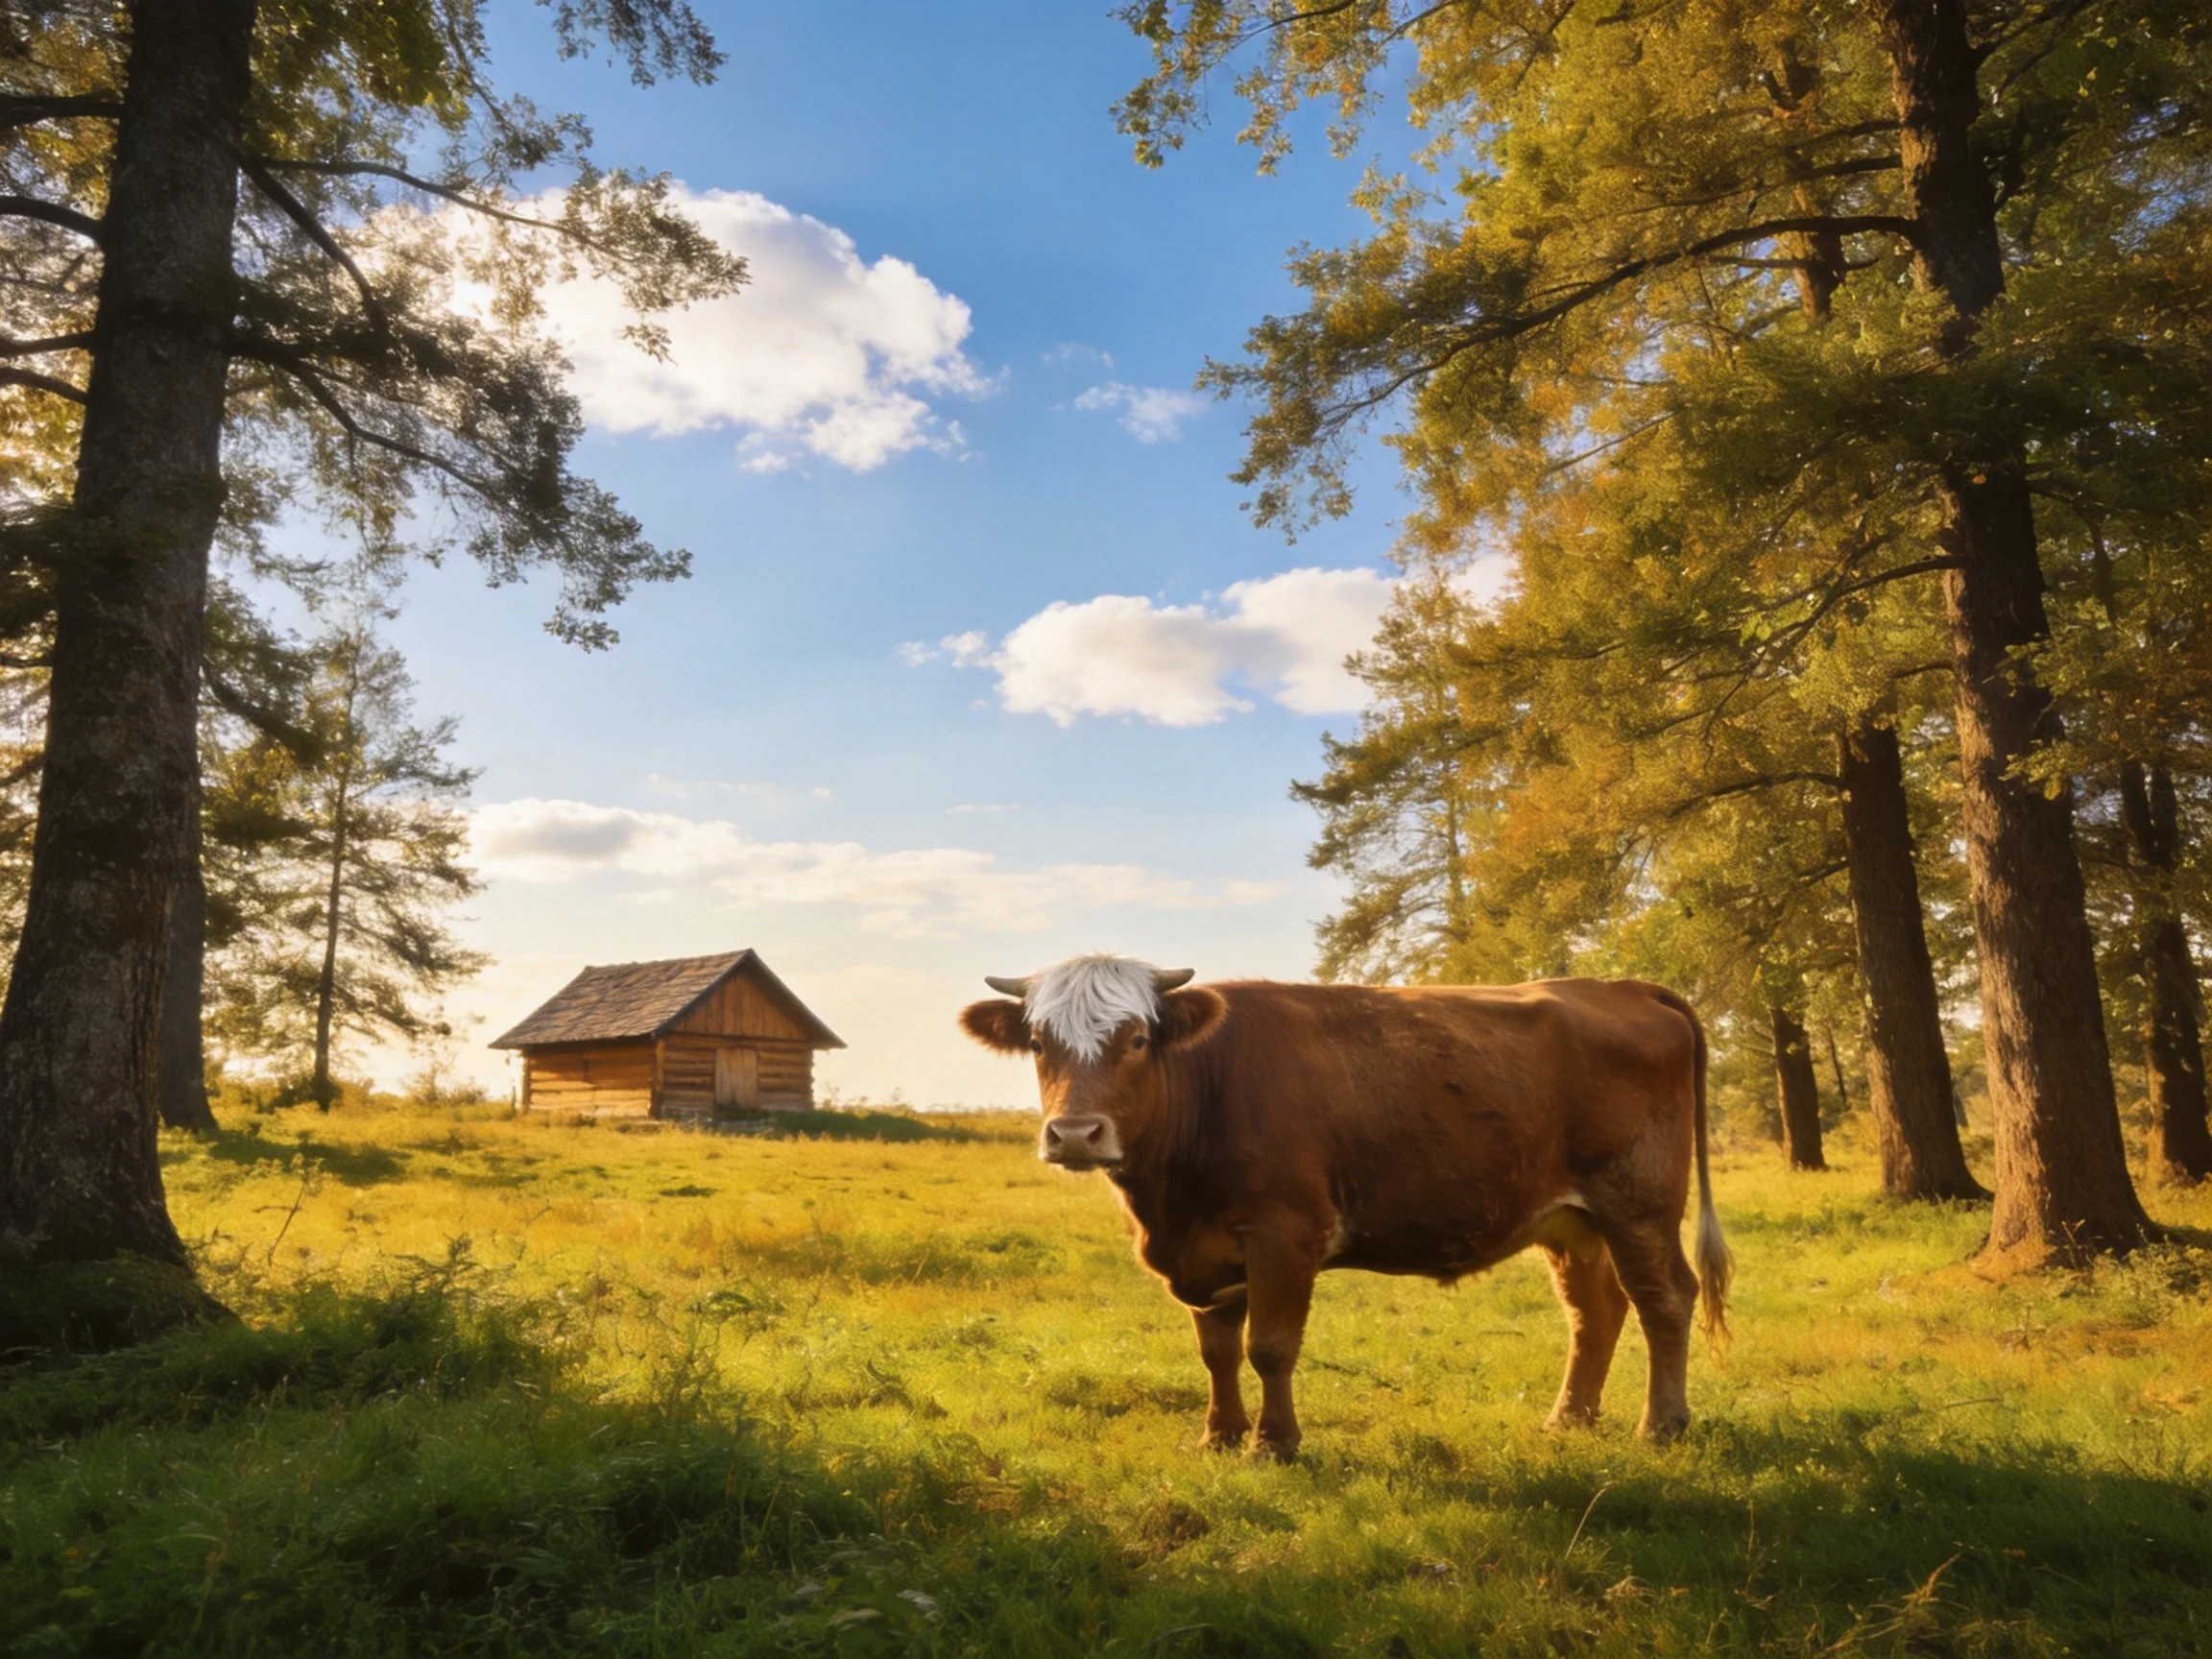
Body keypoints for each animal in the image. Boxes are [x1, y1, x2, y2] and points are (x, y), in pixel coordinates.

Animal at [959, 953, 1730, 1459]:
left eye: (1138, 1039)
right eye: (1038, 1043)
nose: (1074, 1134)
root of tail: (1621, 986)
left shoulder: (1283, 1235)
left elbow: (1269, 1347)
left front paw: (1274, 1445)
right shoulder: (1202, 1252)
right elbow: (1215, 1351)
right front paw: (1220, 1436)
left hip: (1638, 1203)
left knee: (1665, 1298)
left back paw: (1662, 1424)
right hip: (1570, 1220)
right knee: (1595, 1311)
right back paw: (1569, 1419)